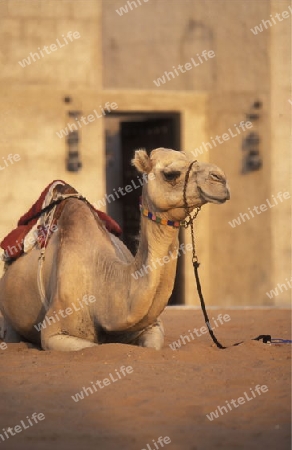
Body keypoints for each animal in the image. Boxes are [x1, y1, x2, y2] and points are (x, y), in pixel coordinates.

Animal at [0, 149, 230, 352]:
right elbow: (93, 346)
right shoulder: (54, 332)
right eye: (171, 174)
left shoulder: (152, 326)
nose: (220, 178)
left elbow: (152, 346)